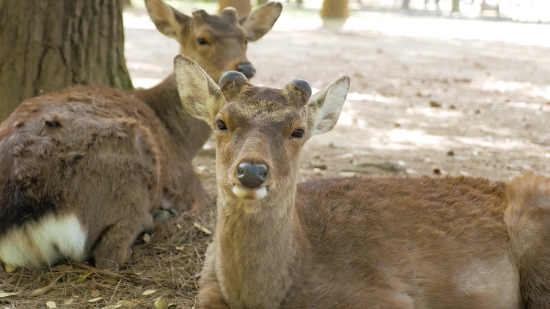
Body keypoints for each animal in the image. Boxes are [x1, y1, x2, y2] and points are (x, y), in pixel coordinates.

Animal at [0, 0, 284, 270]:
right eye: (202, 39)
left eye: (245, 38)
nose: (245, 68)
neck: (181, 139)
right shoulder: (188, 183)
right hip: (132, 165)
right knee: (109, 256)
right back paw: (154, 219)